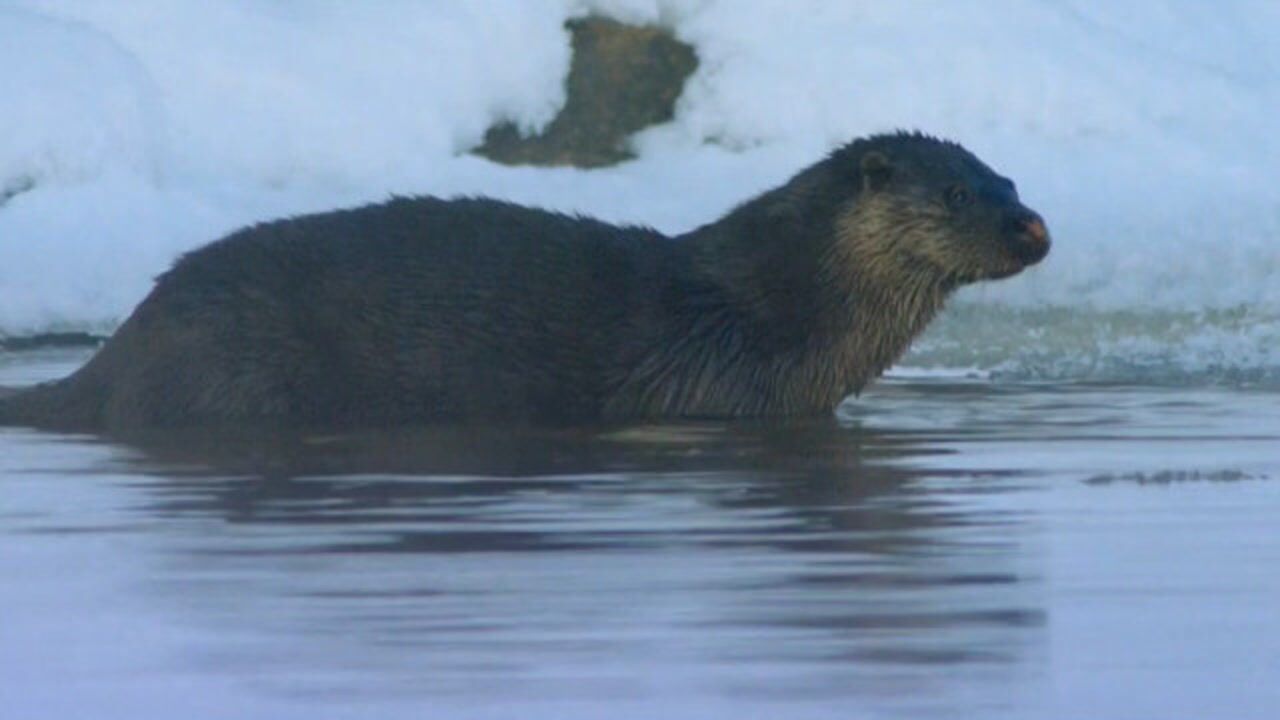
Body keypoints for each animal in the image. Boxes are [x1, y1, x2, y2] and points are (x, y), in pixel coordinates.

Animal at [0, 131, 1049, 427]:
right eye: (958, 191)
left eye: (1011, 177)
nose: (1032, 226)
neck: (767, 308)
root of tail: (124, 343)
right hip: (239, 372)